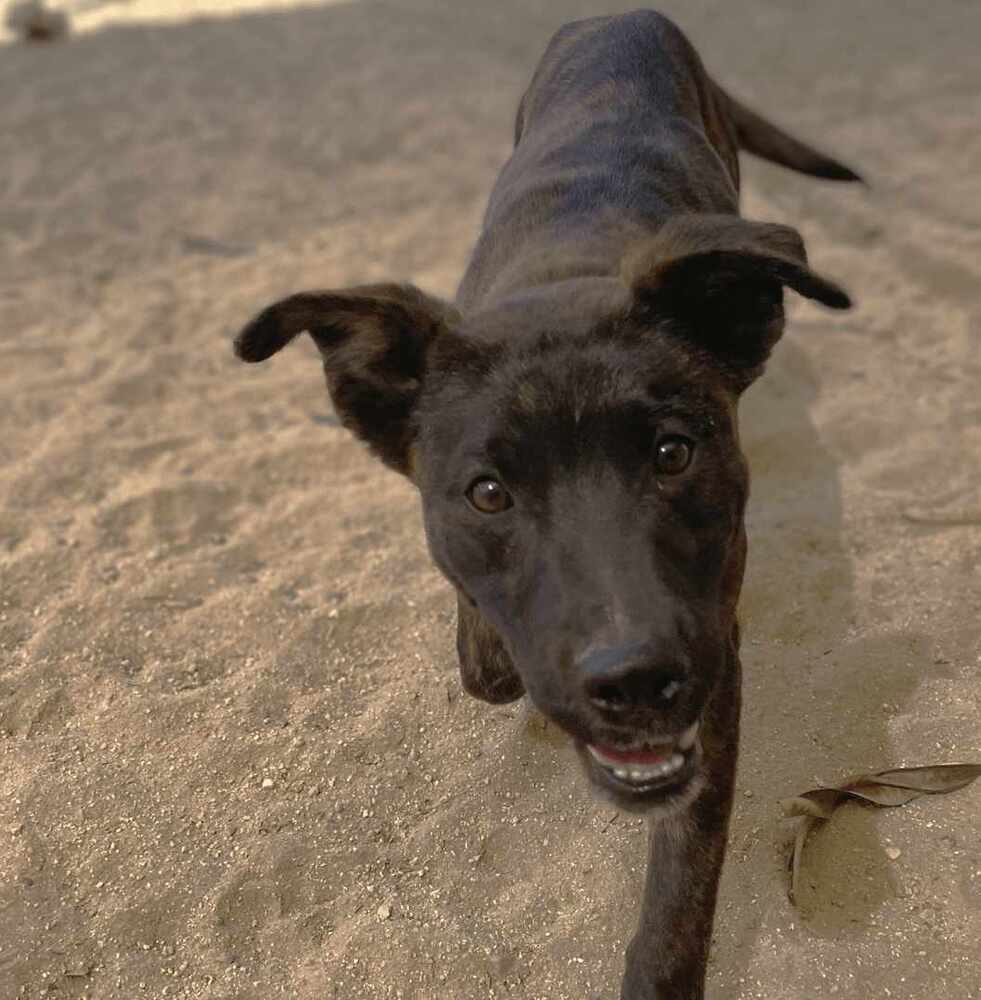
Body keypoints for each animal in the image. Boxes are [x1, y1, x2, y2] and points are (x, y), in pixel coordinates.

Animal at [235, 9, 856, 1000]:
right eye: (488, 494)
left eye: (672, 453)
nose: (633, 680)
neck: (568, 272)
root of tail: (626, 14)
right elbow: (484, 661)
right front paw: (496, 656)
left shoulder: (712, 653)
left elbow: (684, 875)